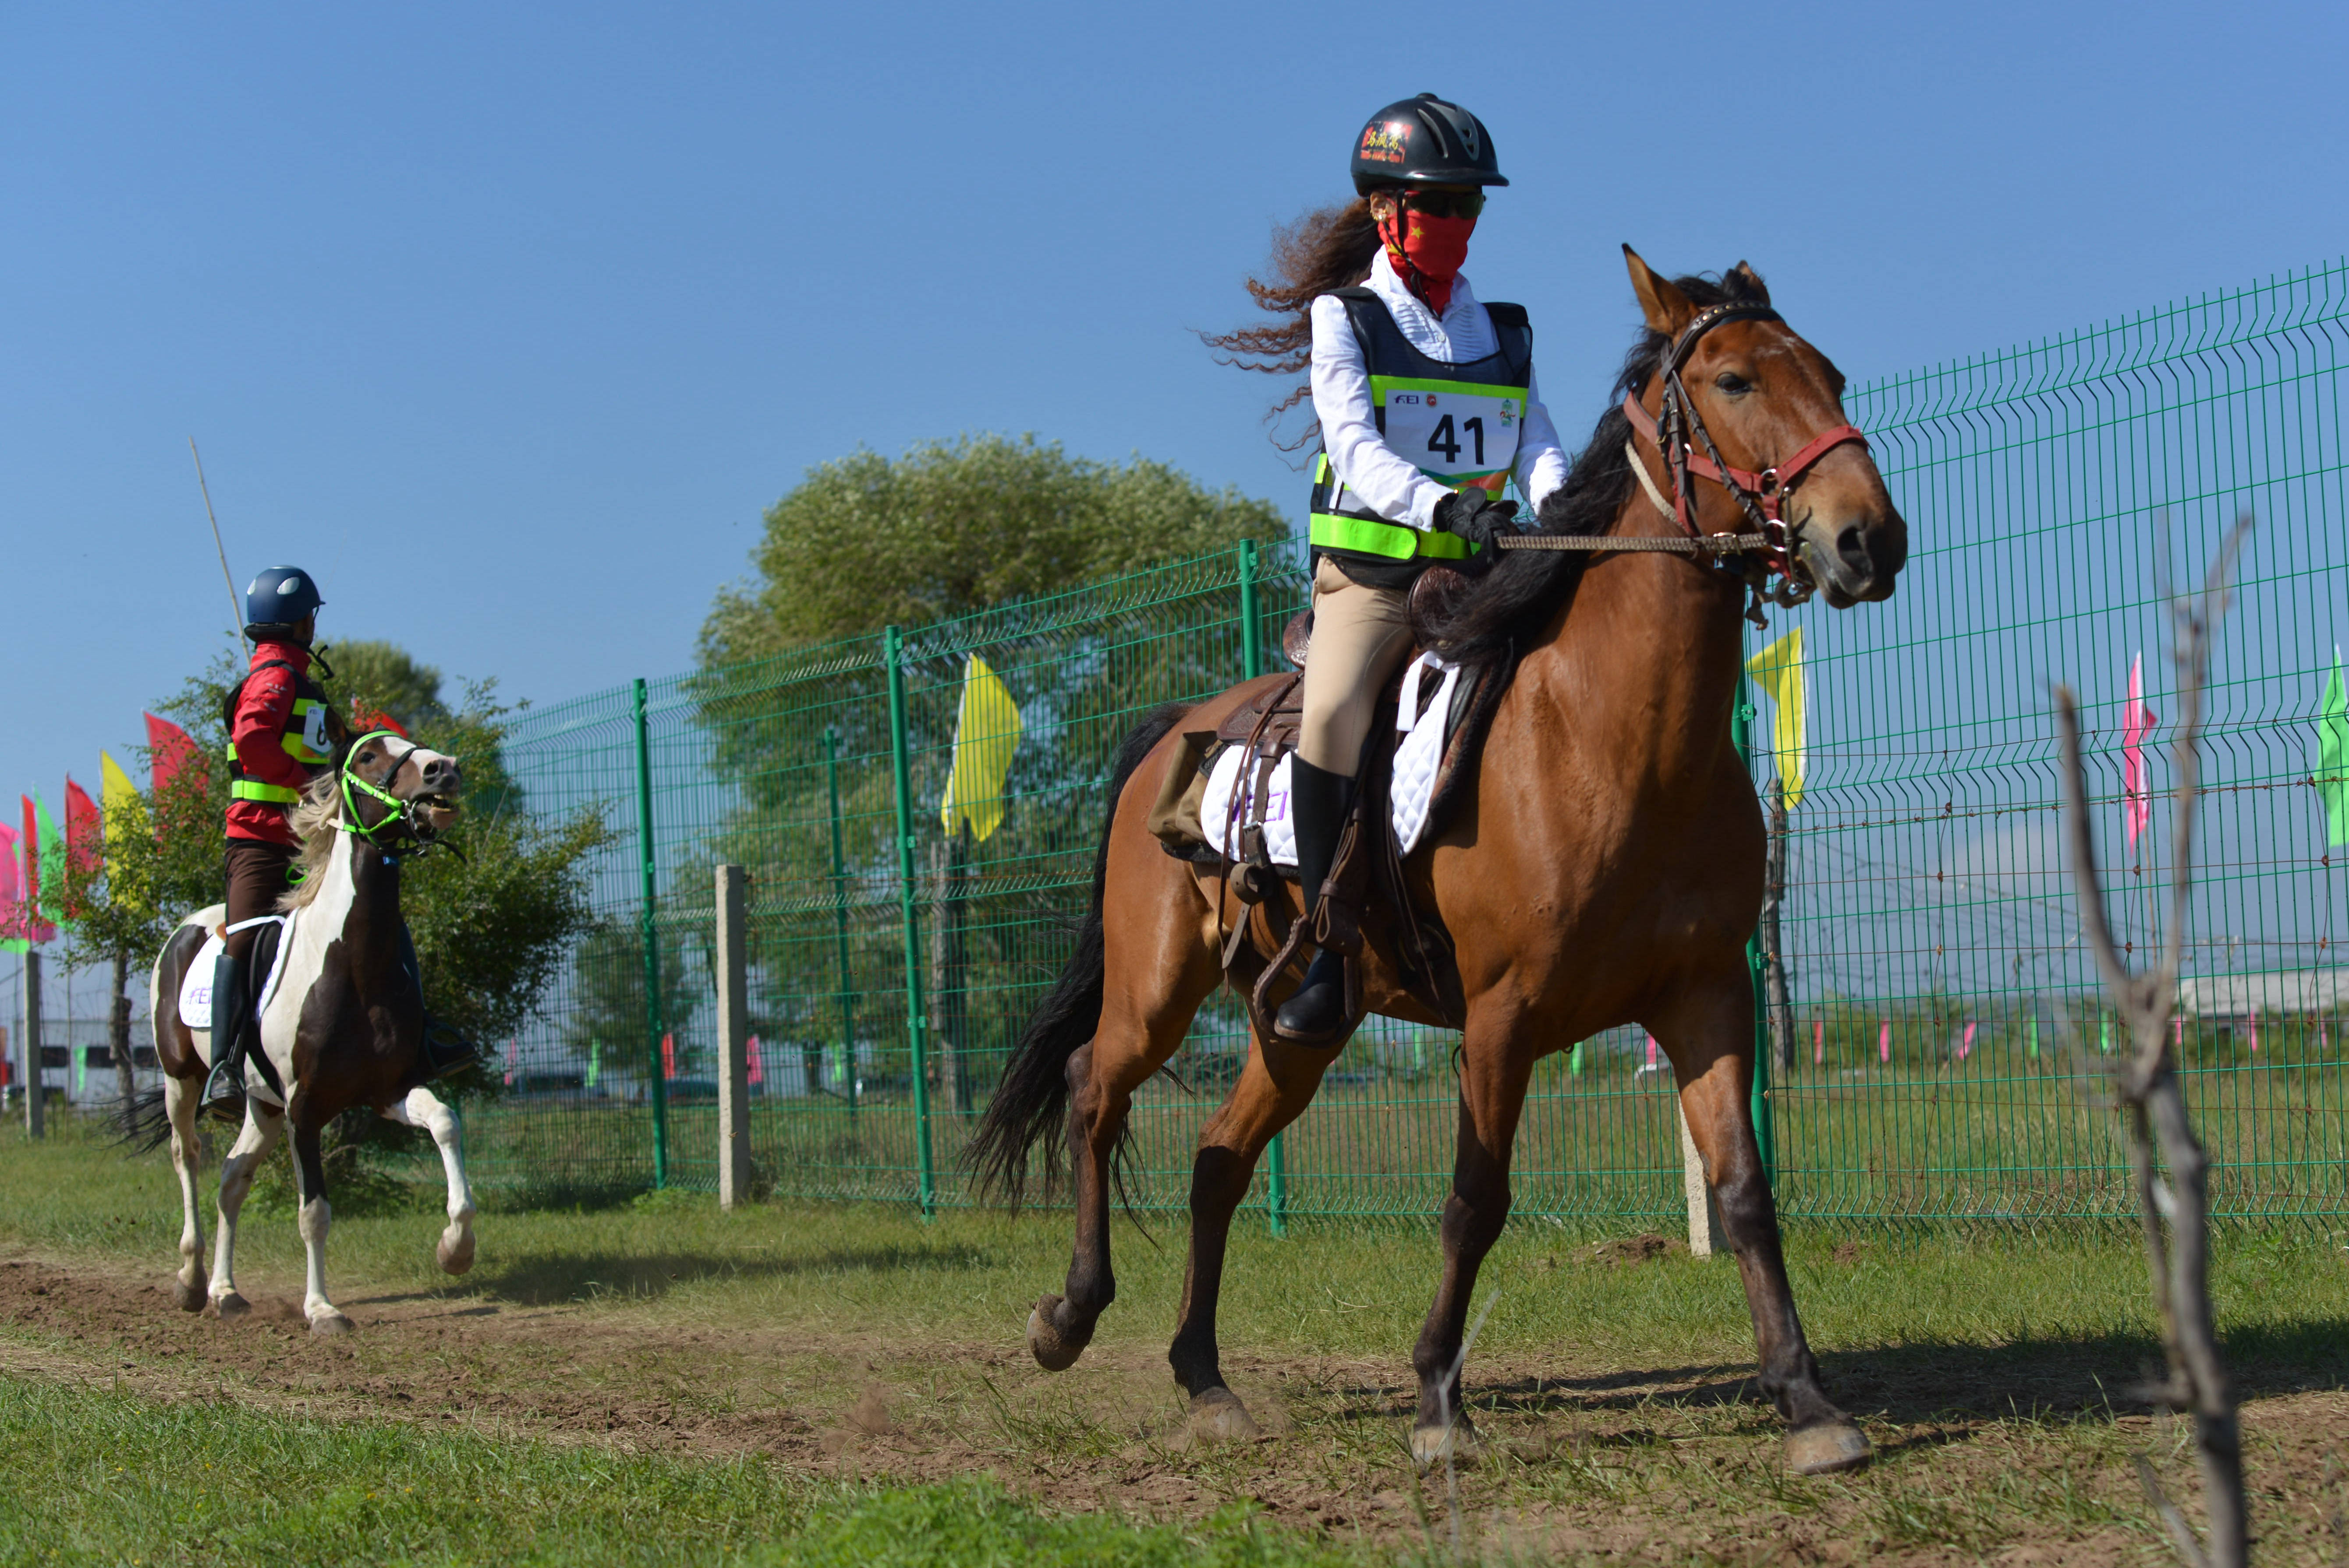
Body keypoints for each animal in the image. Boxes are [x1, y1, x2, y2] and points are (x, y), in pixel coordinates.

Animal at [133, 737, 477, 1333]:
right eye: (368, 756)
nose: (444, 771)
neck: (353, 963)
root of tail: (186, 928)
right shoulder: (306, 1109)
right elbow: (314, 1211)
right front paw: (321, 1308)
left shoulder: (386, 1090)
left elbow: (444, 1122)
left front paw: (456, 1248)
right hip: (183, 1080)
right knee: (188, 1156)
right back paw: (191, 1281)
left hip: (262, 1105)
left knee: (232, 1177)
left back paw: (226, 1291)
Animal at [972, 251, 1907, 1474]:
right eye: (1735, 379)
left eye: (1829, 373)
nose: (1866, 539)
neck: (1613, 738)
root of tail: (1183, 721)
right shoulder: (1502, 1016)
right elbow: (1474, 1198)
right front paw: (1435, 1400)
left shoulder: (1706, 994)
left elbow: (1744, 1190)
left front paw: (1806, 1401)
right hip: (1154, 989)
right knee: (1093, 1086)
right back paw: (1068, 1316)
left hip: (1297, 1028)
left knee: (1216, 1159)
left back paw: (1204, 1380)